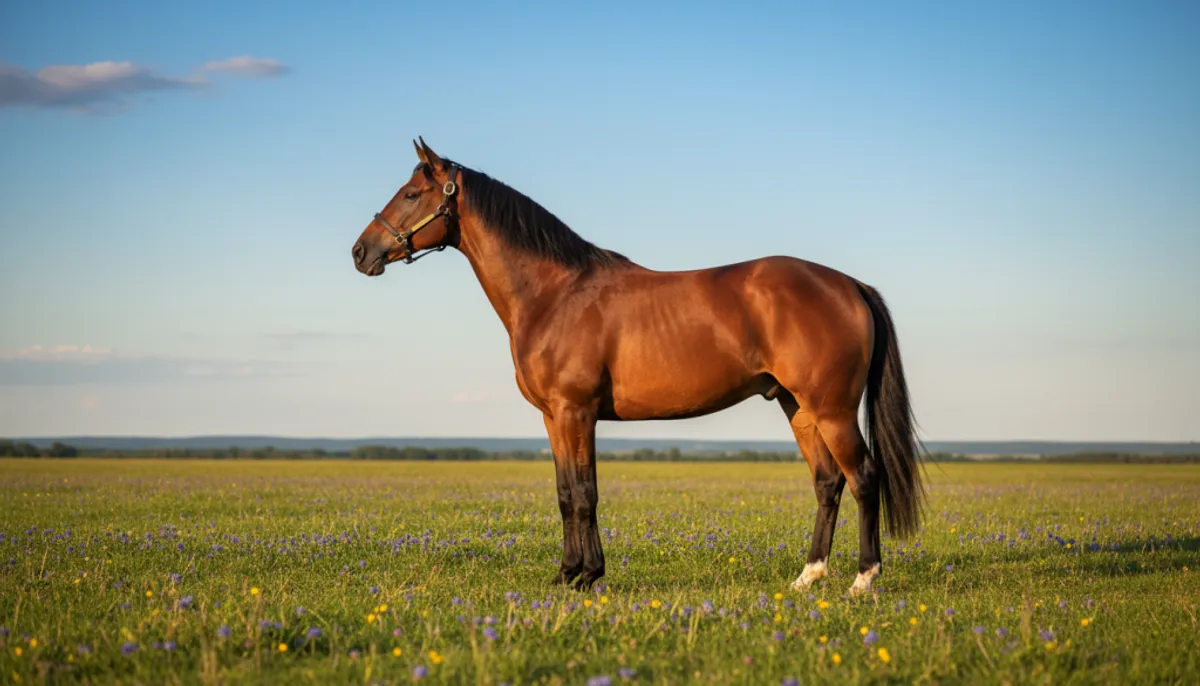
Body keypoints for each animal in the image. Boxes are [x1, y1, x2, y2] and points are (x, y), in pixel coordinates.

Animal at [351, 138, 926, 596]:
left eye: (411, 194)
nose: (361, 251)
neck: (555, 293)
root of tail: (849, 284)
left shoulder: (576, 412)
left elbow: (585, 494)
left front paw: (588, 575)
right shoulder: (552, 417)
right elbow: (565, 494)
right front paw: (566, 574)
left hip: (832, 409)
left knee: (863, 477)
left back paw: (863, 579)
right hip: (797, 407)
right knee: (827, 482)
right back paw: (808, 576)